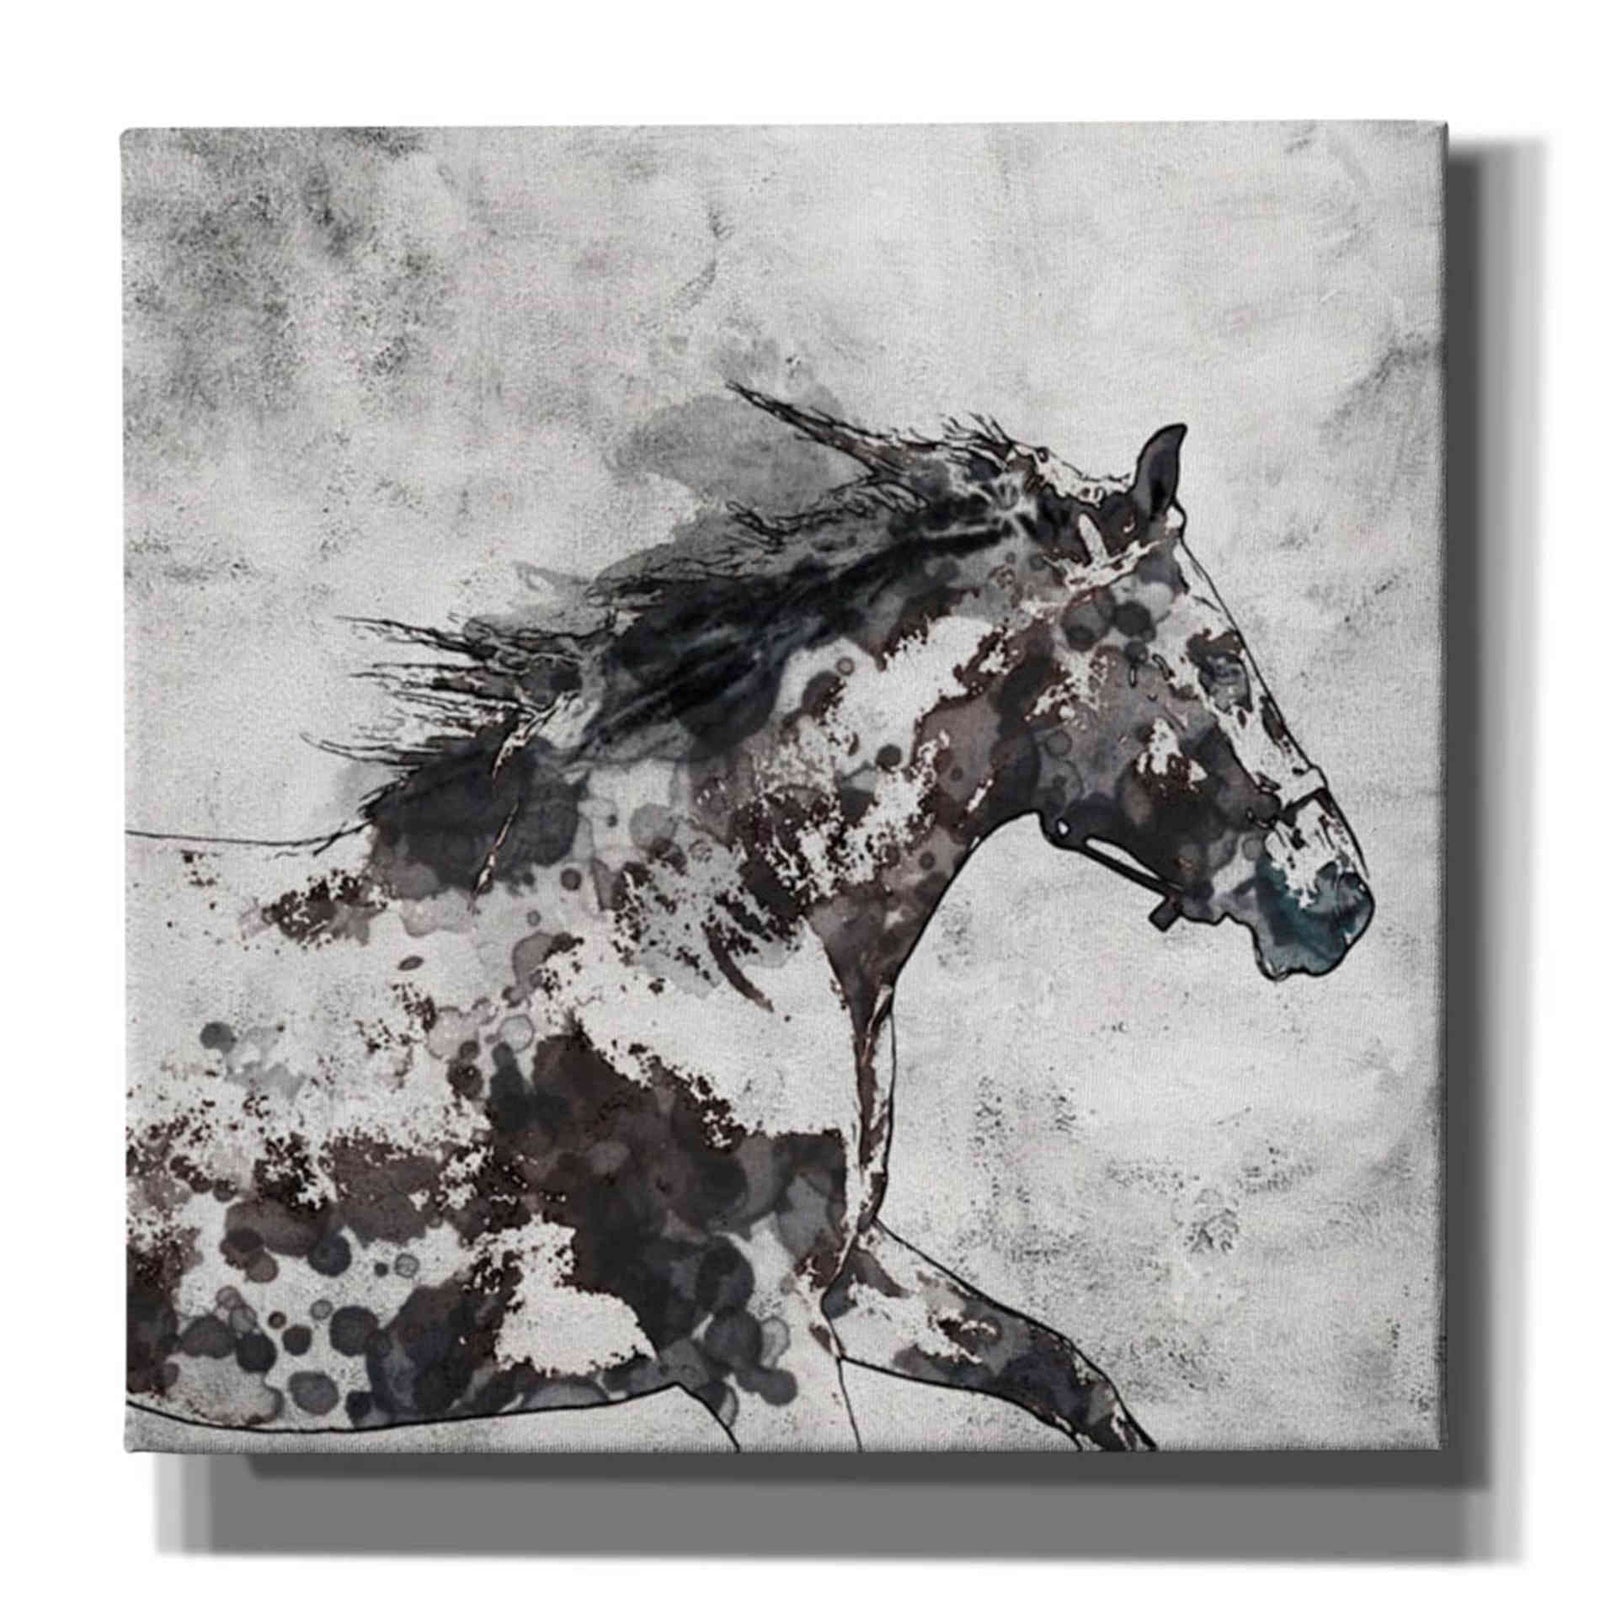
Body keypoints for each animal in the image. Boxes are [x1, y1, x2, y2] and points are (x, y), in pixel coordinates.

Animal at [126, 386, 1374, 1451]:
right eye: (1220, 656)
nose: (1340, 894)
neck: (703, 935)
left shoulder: (848, 1278)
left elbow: (1064, 1370)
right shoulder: (755, 1338)